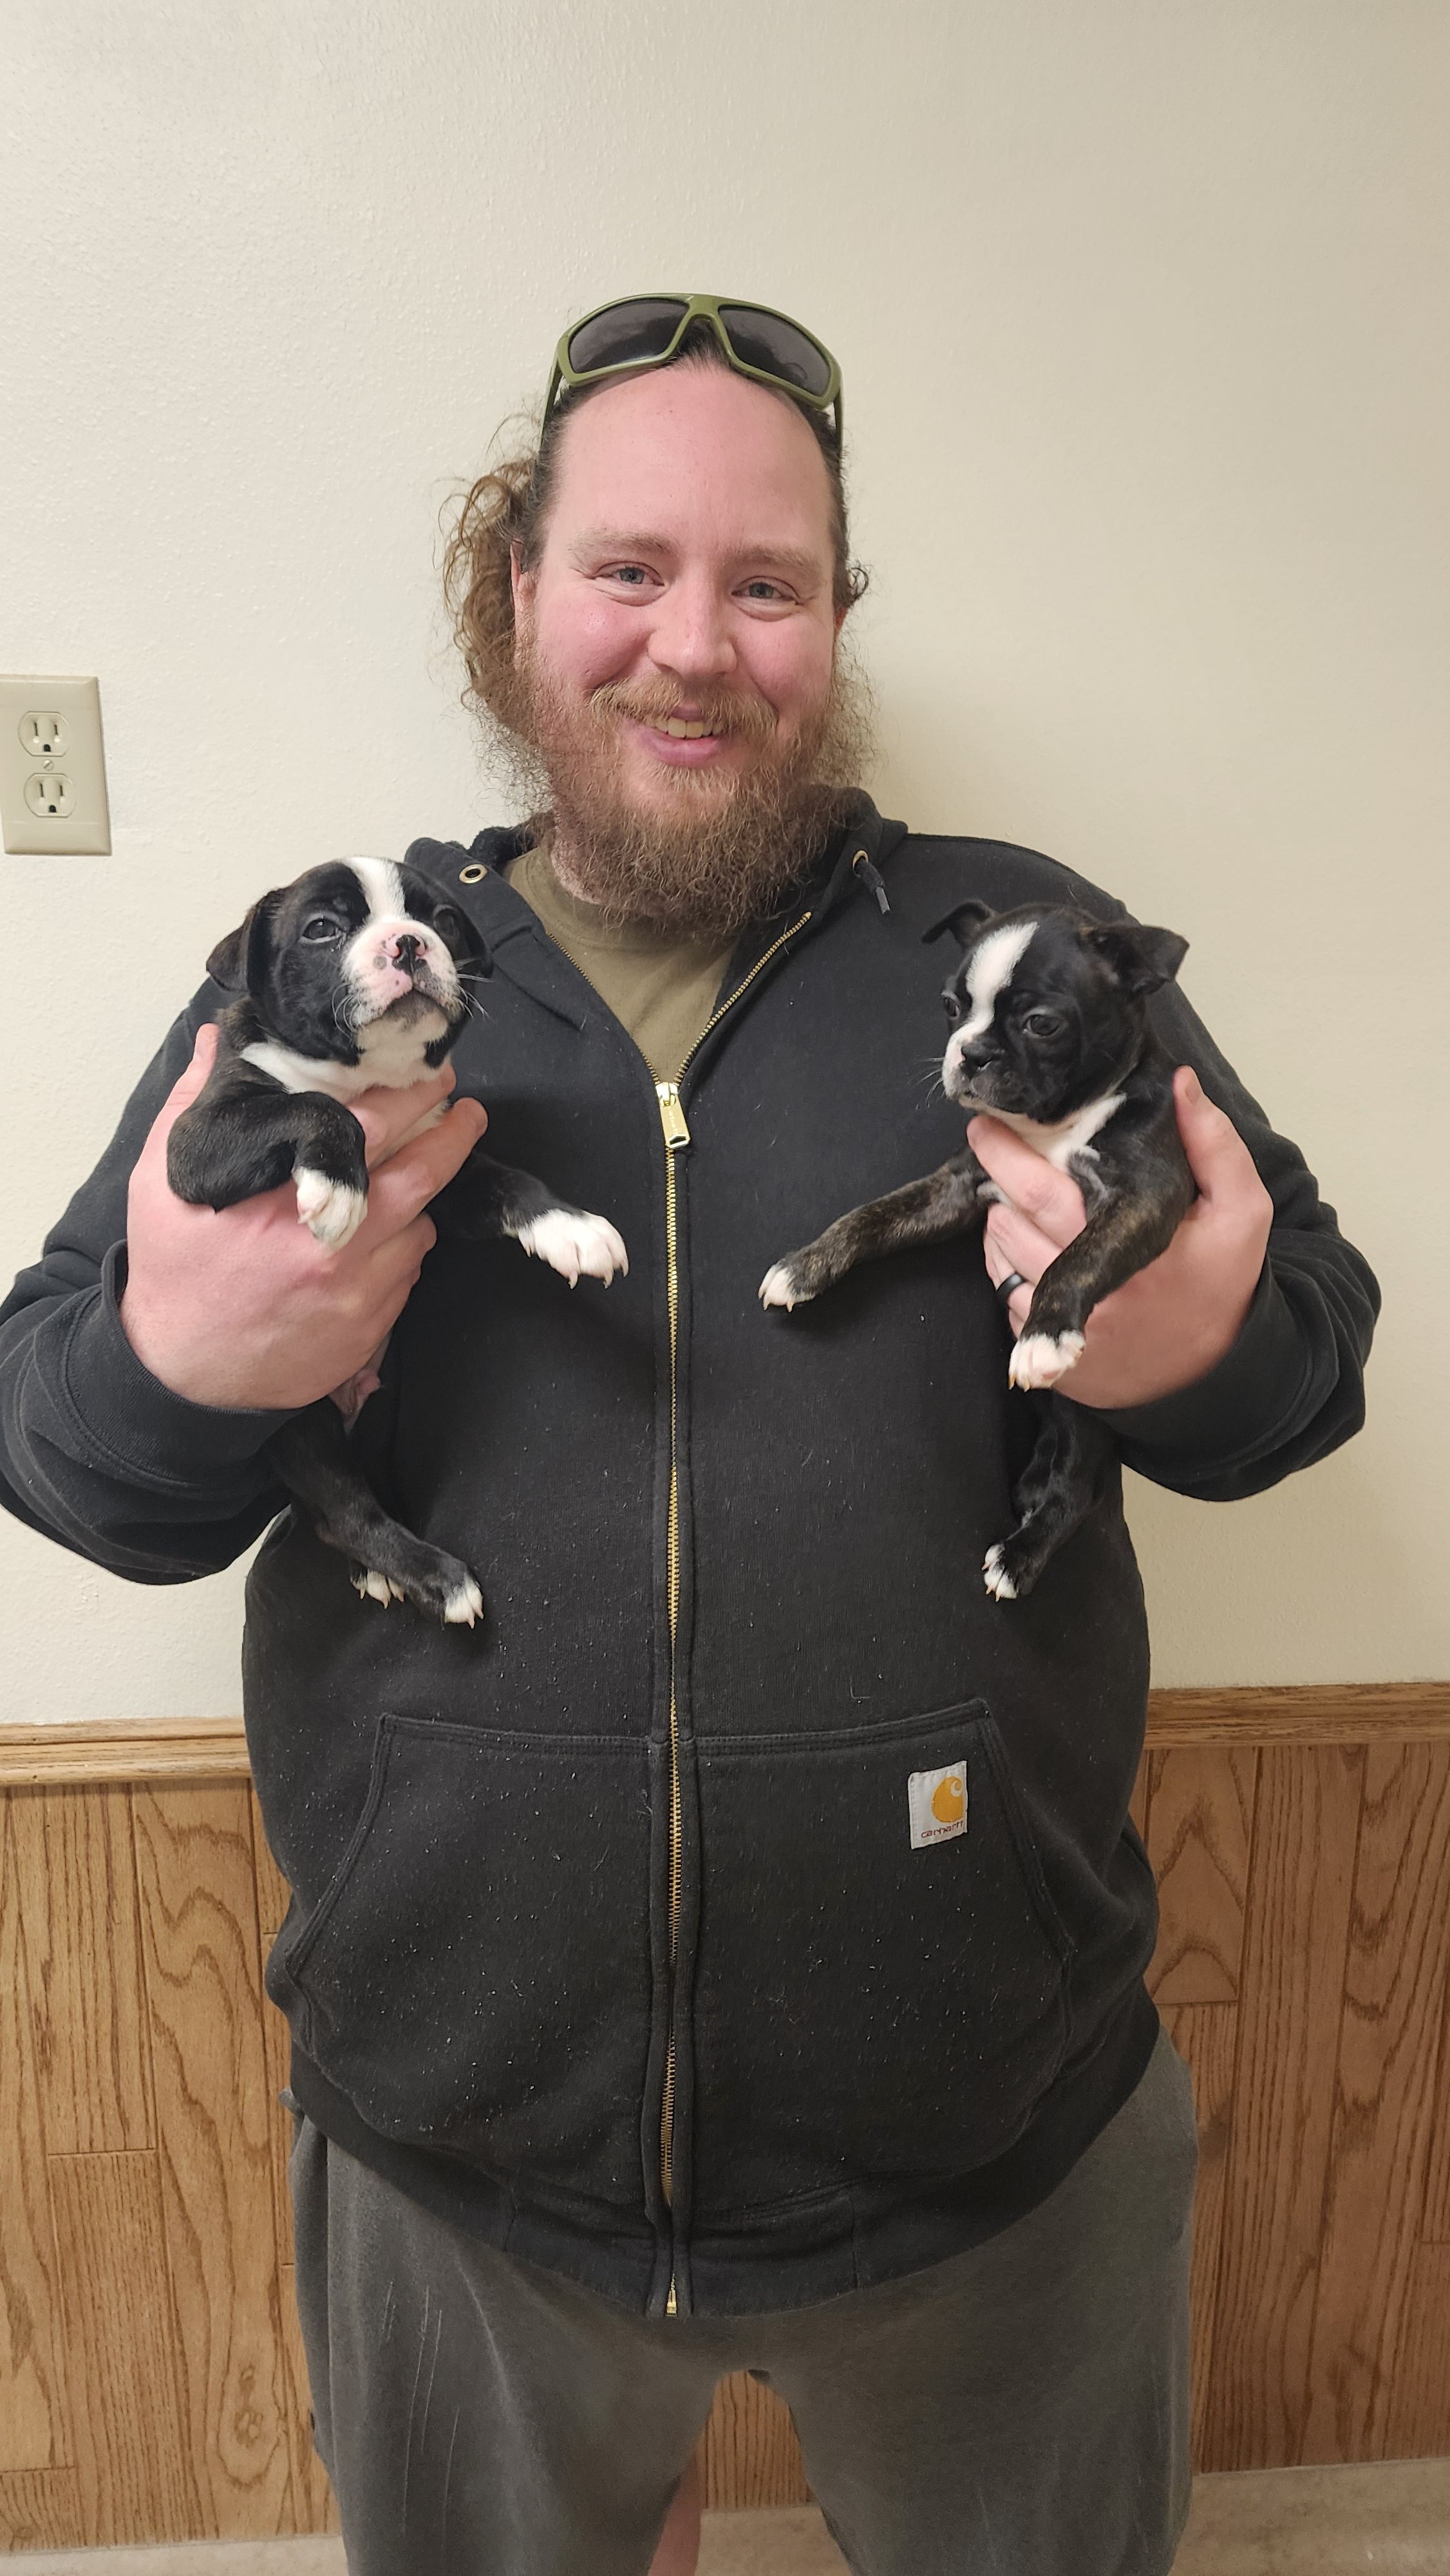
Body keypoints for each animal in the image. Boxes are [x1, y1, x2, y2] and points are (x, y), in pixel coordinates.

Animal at [168, 857, 627, 1624]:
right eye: (322, 928)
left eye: (440, 920)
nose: (409, 943)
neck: (366, 1078)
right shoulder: (195, 1145)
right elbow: (314, 1106)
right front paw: (340, 1183)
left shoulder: (445, 1169)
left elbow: (511, 1181)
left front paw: (571, 1227)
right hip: (299, 1424)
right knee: (343, 1513)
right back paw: (436, 1578)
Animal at [759, 899, 1195, 1600]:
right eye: (950, 1007)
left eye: (1040, 1023)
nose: (970, 1052)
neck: (1050, 1128)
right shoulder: (957, 1187)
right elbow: (871, 1215)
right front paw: (807, 1265)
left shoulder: (1144, 1197)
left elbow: (1076, 1258)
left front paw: (1044, 1333)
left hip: (1088, 1414)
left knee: (1075, 1490)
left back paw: (1019, 1559)